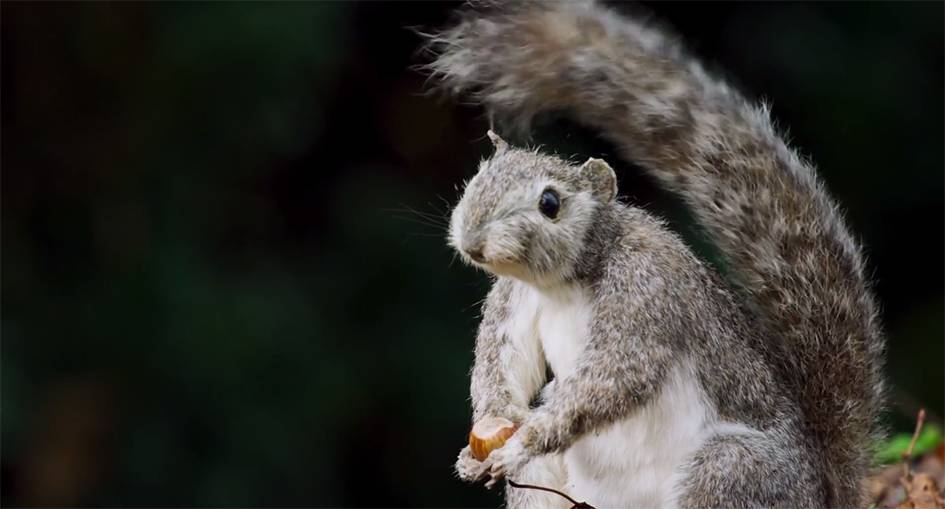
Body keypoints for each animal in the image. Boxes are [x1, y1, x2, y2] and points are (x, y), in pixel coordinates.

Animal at [426, 1, 884, 506]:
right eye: (478, 178)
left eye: (550, 203)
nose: (472, 241)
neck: (563, 284)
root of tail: (820, 491)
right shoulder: (514, 299)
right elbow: (503, 368)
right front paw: (477, 447)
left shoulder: (646, 290)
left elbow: (617, 375)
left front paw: (522, 441)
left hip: (730, 470)